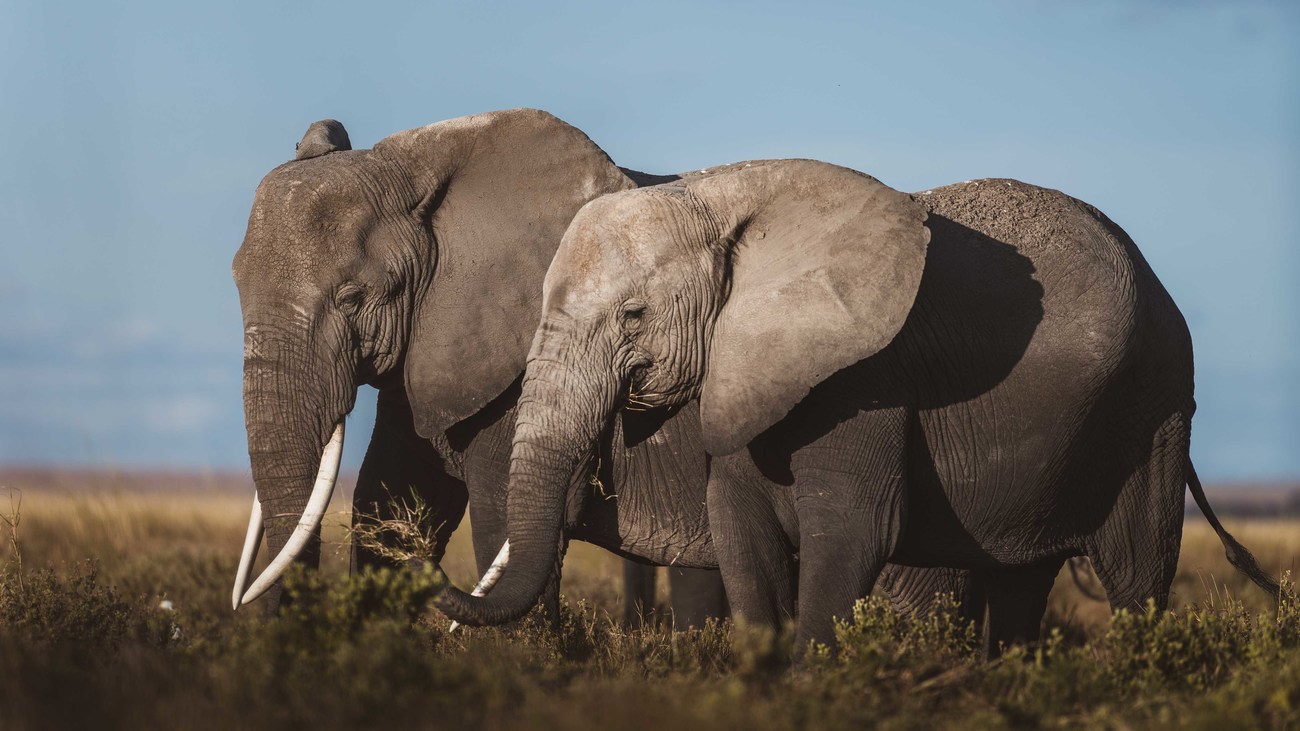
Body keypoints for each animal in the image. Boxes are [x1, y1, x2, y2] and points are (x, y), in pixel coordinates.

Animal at [434, 154, 1279, 647]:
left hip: (1152, 409)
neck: (725, 197)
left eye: (633, 316)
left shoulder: (869, 375)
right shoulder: (748, 369)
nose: (432, 584)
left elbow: (855, 530)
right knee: (1023, 579)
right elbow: (739, 531)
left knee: (1136, 576)